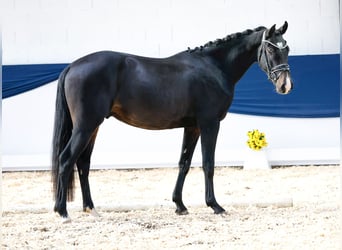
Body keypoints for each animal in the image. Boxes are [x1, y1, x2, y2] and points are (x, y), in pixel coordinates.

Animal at [52, 21, 292, 221]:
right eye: (271, 49)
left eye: (287, 49)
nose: (285, 85)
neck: (213, 67)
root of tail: (72, 66)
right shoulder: (209, 124)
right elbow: (208, 164)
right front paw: (215, 205)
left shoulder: (192, 127)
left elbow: (184, 163)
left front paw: (180, 205)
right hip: (85, 127)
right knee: (66, 160)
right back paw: (62, 211)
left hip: (92, 128)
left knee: (83, 163)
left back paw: (91, 208)